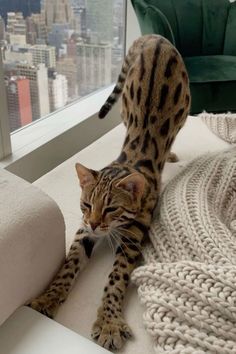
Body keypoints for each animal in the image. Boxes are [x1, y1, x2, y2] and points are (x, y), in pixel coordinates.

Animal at [28, 34, 191, 352]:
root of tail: (153, 38)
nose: (94, 223)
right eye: (85, 205)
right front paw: (49, 298)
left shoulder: (133, 236)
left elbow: (116, 278)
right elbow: (68, 266)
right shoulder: (83, 232)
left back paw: (171, 154)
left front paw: (108, 322)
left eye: (112, 208)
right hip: (126, 106)